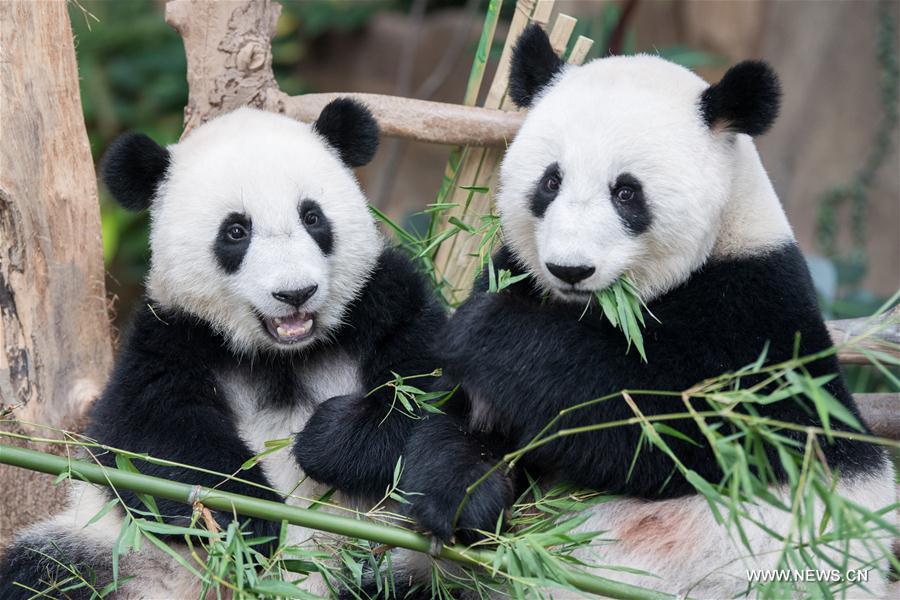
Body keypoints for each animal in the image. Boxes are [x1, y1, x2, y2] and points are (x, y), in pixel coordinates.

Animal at [0, 101, 446, 596]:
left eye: (312, 217)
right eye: (235, 231)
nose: (295, 293)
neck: (283, 354)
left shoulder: (382, 299)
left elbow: (434, 400)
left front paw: (324, 439)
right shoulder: (172, 335)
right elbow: (149, 435)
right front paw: (250, 519)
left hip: (397, 566)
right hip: (116, 554)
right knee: (44, 571)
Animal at [402, 25, 900, 596]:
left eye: (626, 192)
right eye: (550, 181)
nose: (570, 269)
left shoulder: (759, 317)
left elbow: (663, 419)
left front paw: (490, 334)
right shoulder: (516, 270)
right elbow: (454, 416)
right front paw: (464, 498)